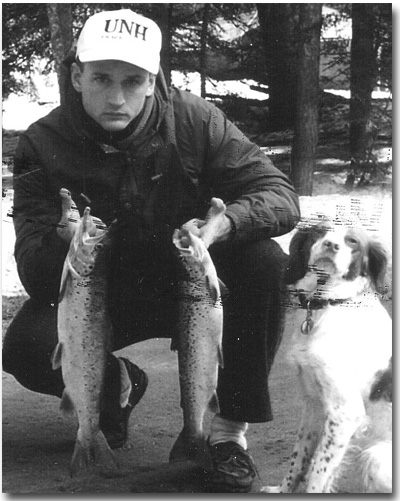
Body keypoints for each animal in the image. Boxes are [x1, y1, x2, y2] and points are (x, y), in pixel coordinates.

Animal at [262, 218, 390, 492]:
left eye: (352, 241)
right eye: (319, 231)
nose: (331, 245)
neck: (328, 304)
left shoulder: (345, 414)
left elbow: (317, 473)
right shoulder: (314, 403)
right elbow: (299, 459)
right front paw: (282, 490)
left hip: (376, 459)